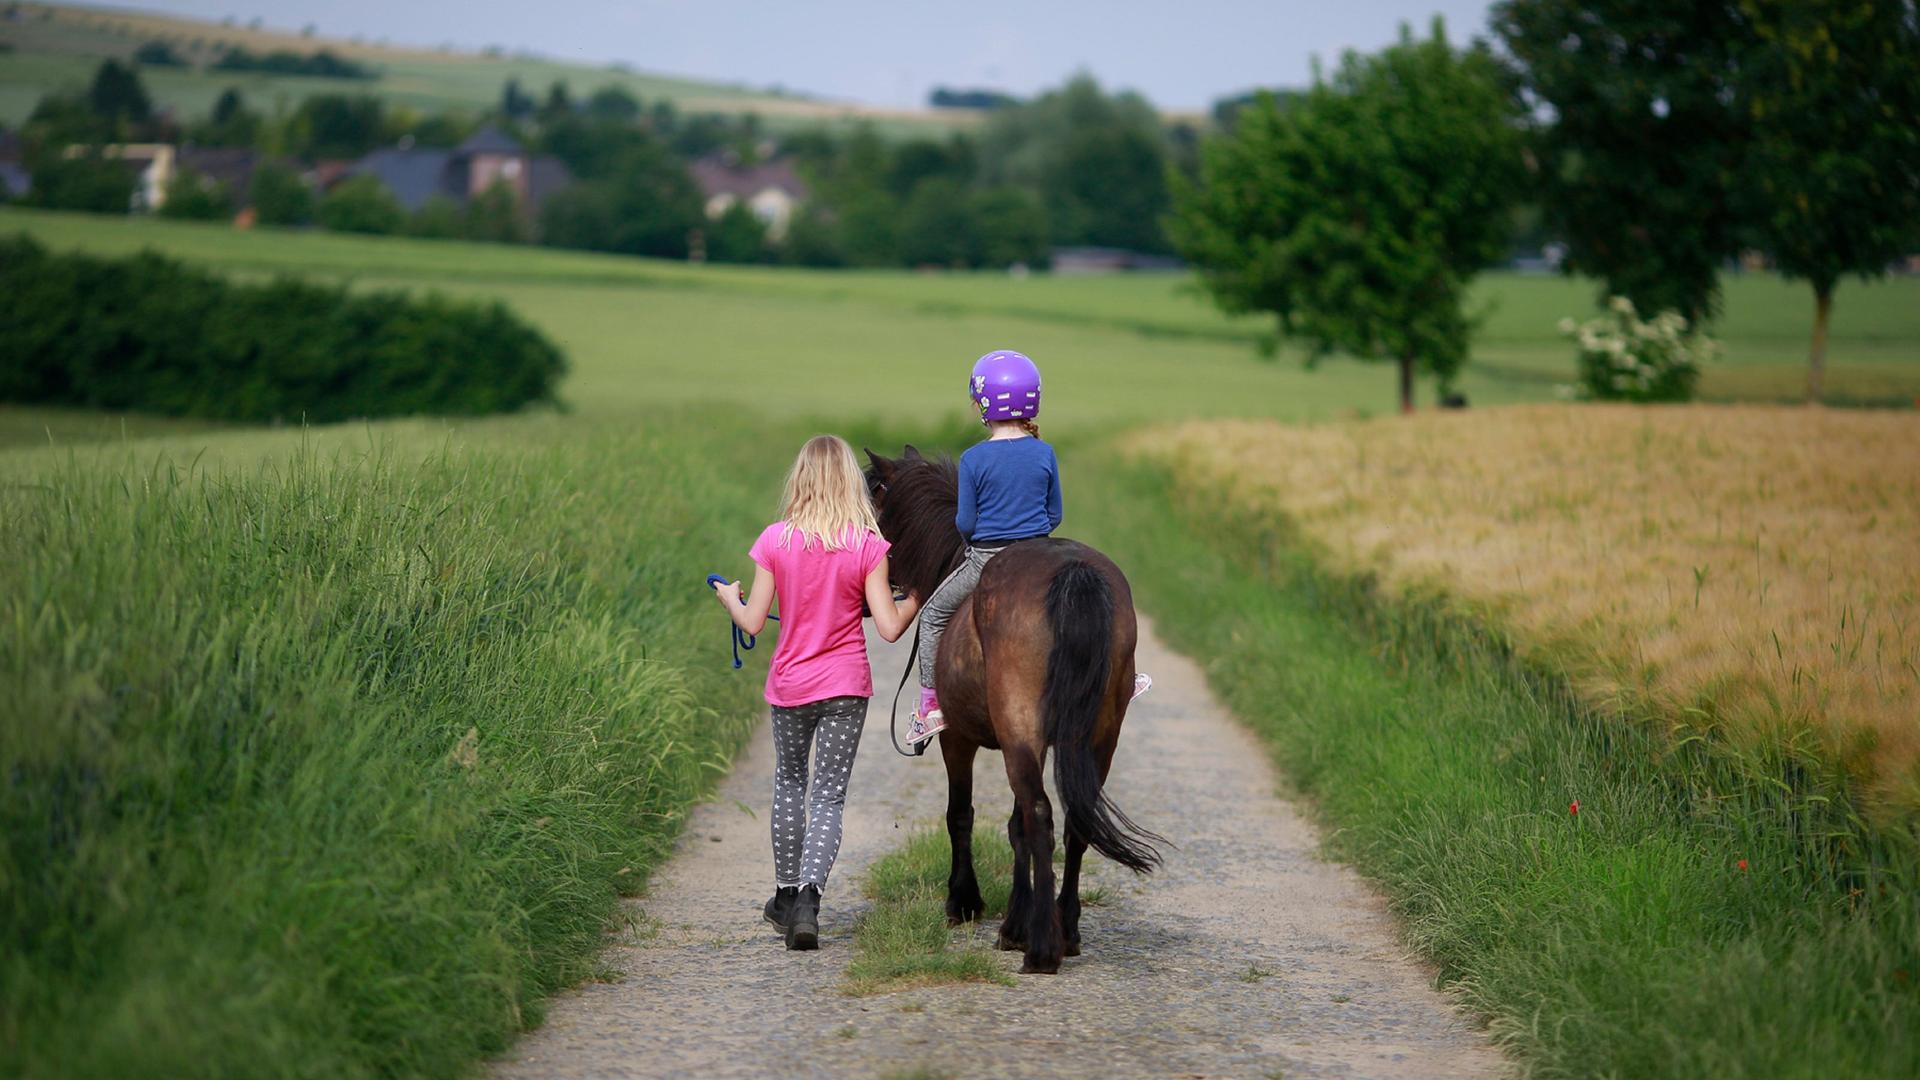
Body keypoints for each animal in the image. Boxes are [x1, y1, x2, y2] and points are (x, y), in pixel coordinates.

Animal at [867, 441, 1159, 972]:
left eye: (875, 506)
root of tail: (1074, 574)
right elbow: (1013, 826)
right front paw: (1013, 922)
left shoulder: (959, 739)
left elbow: (962, 814)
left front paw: (965, 901)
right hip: (1098, 733)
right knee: (1074, 819)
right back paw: (1066, 931)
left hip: (1021, 729)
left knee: (1041, 814)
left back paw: (1043, 949)